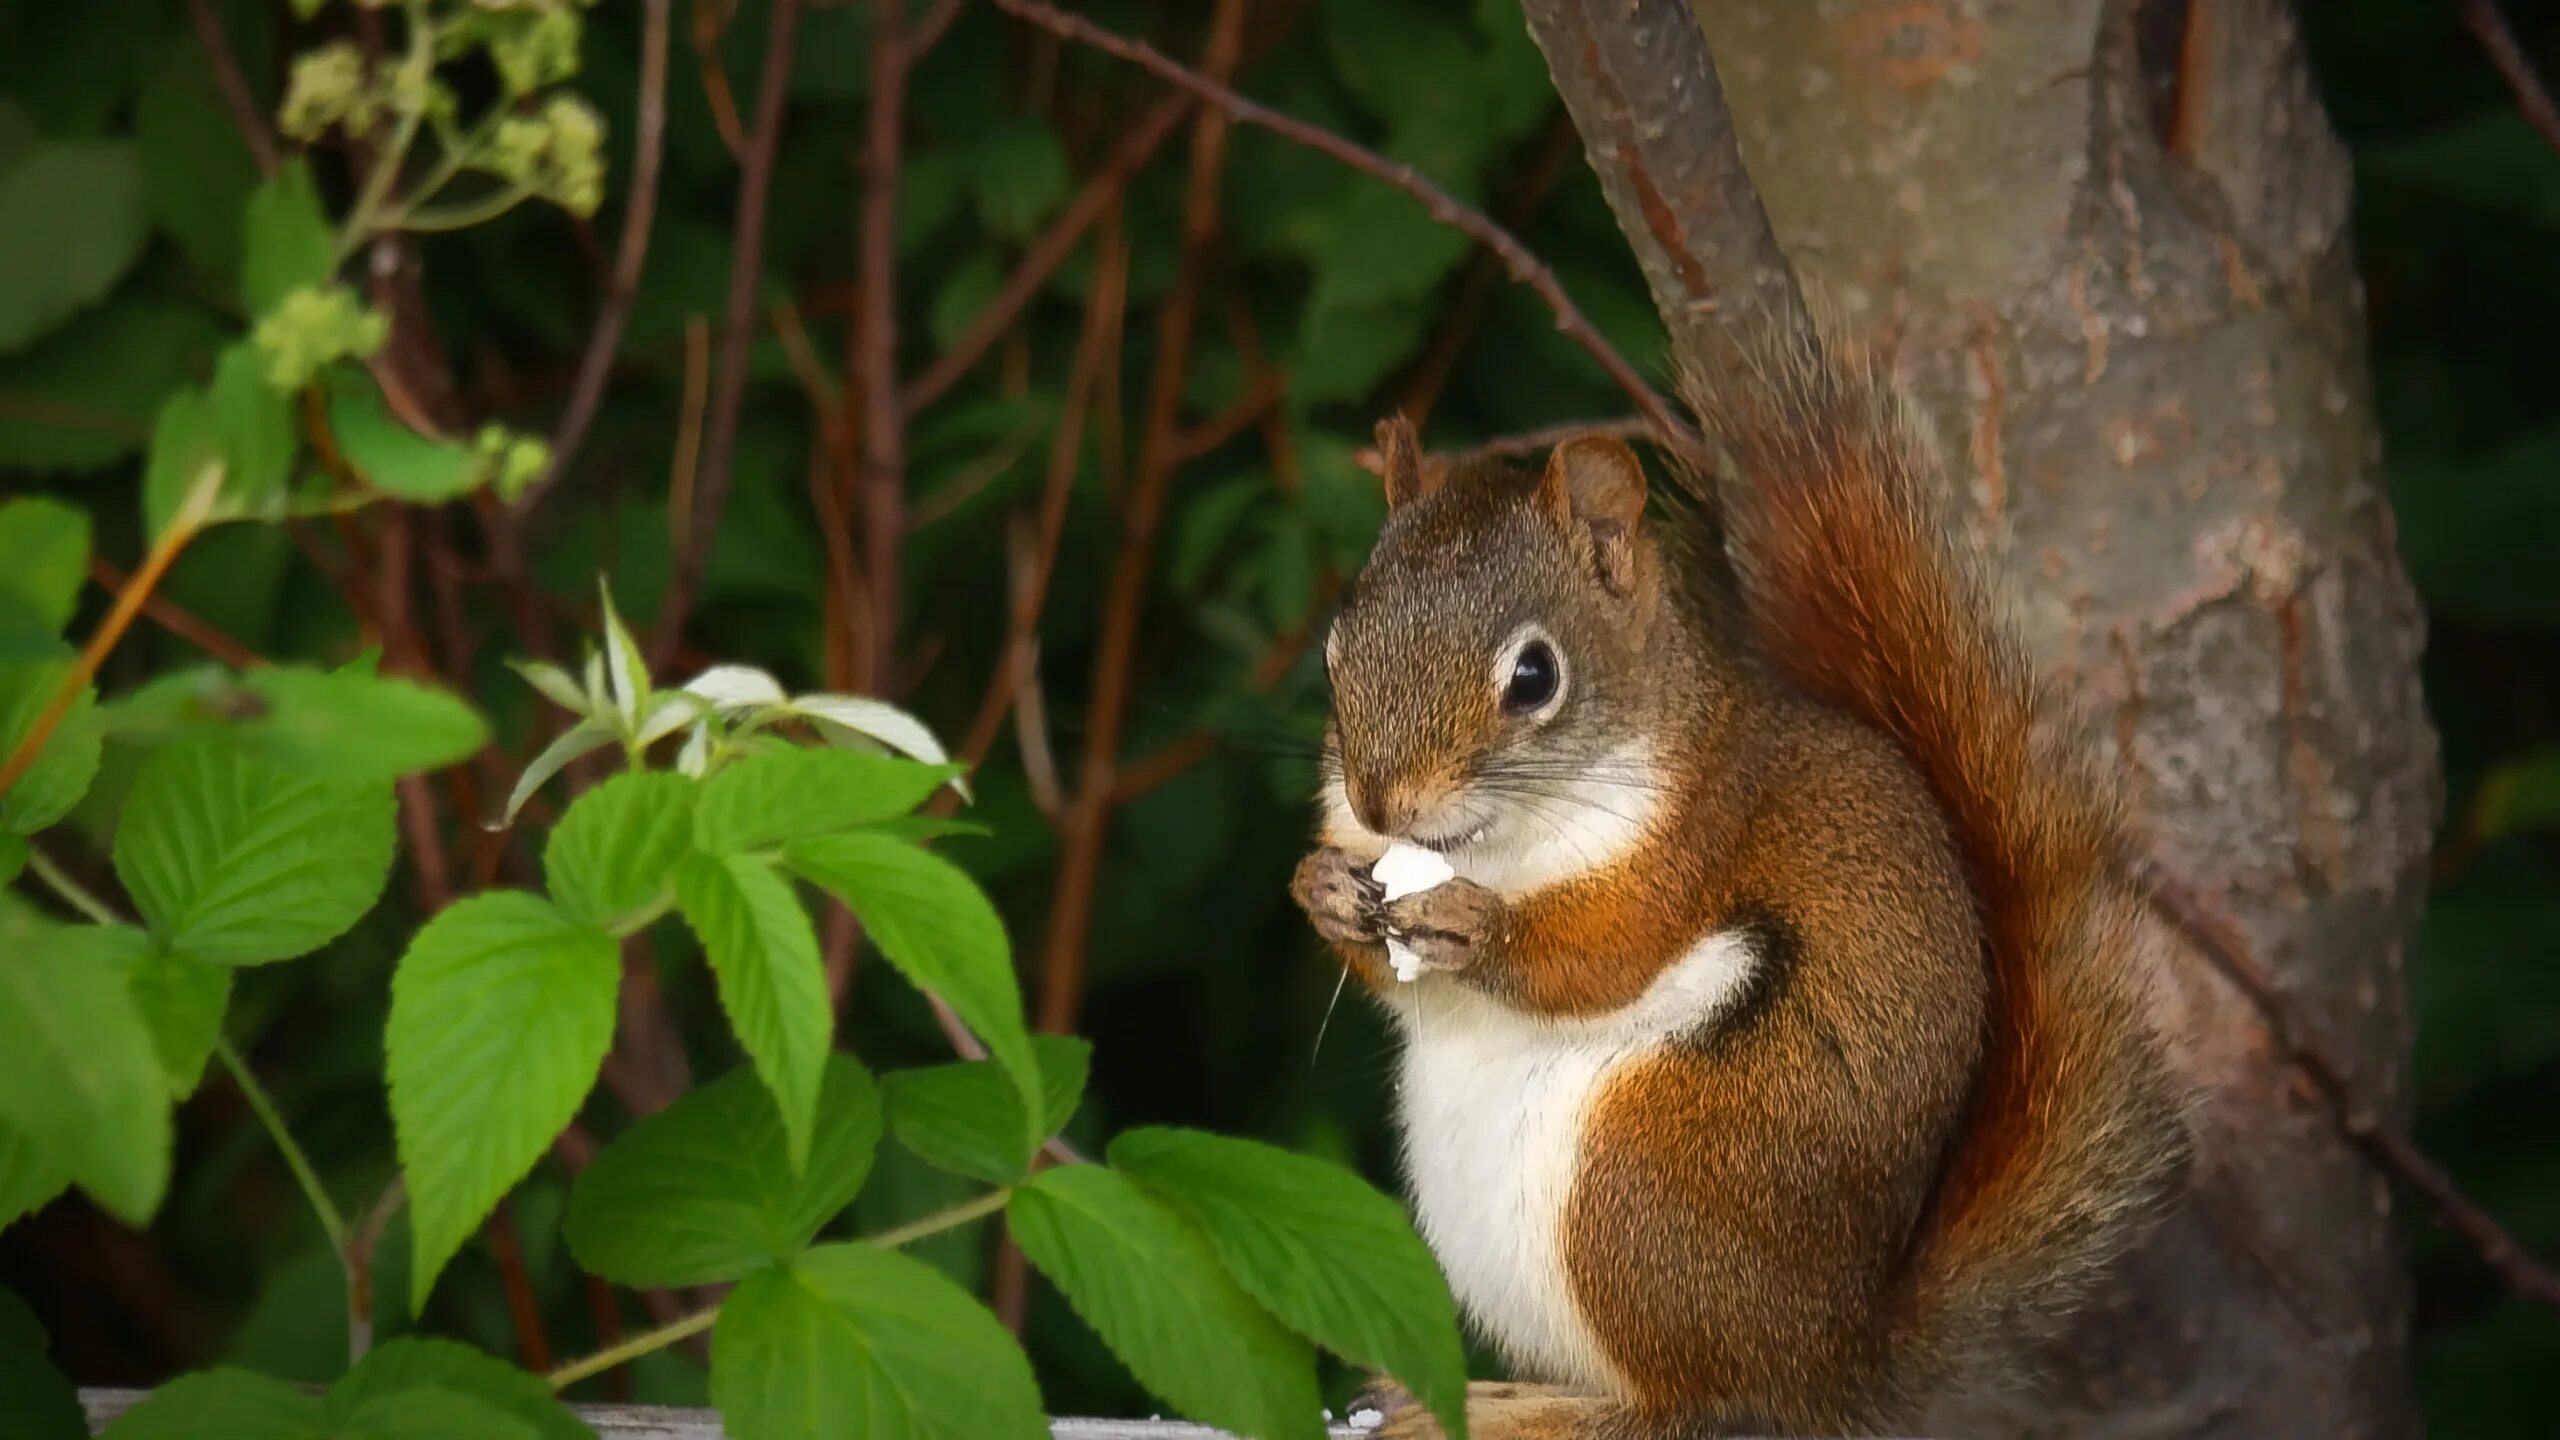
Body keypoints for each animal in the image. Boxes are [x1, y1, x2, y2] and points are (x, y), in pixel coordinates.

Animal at [1290, 330, 2191, 1424]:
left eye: (1534, 677)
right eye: (1333, 654)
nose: (1383, 806)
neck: (1494, 848)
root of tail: (1830, 1363)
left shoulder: (1689, 849)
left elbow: (1598, 958)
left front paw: (1479, 930)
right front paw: (1321, 887)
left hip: (1637, 1190)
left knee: (1688, 1409)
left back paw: (1528, 1418)